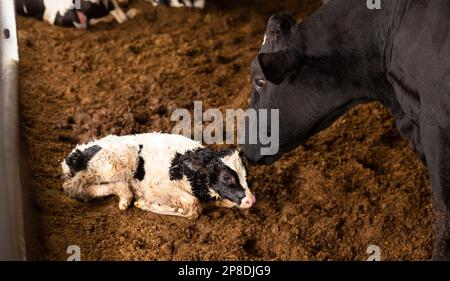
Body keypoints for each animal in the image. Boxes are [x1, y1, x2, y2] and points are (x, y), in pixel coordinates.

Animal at [61, 132, 255, 219]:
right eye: (227, 178)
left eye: (245, 174)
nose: (251, 201)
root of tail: (75, 154)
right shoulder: (154, 188)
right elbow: (194, 206)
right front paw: (146, 204)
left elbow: (227, 203)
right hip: (114, 163)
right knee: (73, 188)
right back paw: (125, 194)